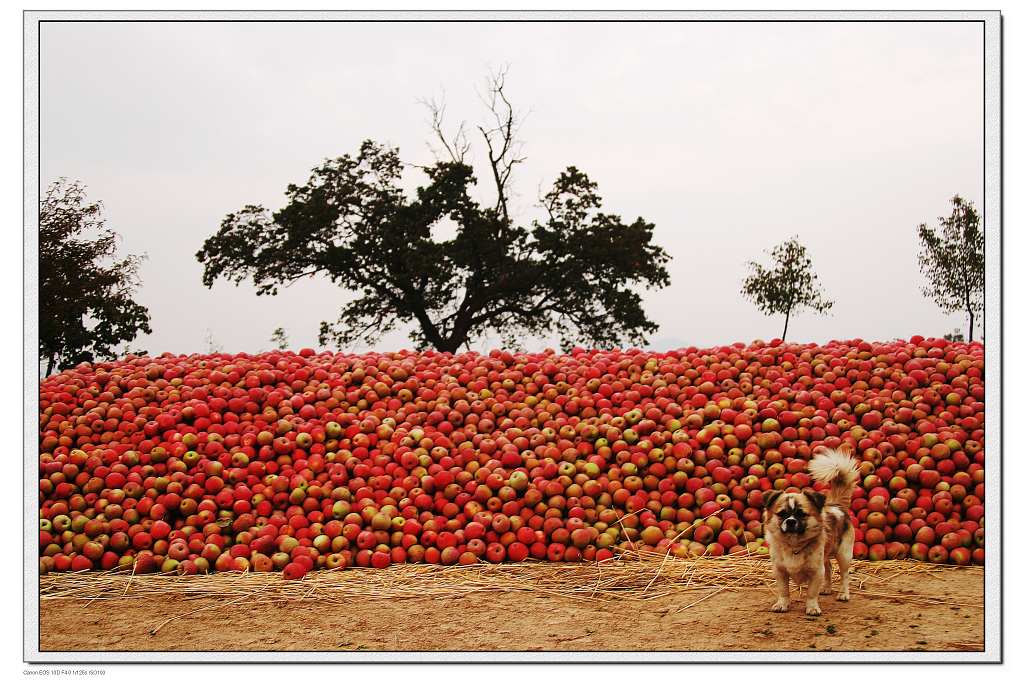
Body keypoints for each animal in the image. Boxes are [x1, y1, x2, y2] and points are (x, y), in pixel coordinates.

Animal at [765, 446, 860, 618]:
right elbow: (783, 591)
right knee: (829, 568)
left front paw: (812, 608)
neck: (794, 545)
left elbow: (811, 593)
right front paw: (782, 604)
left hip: (844, 554)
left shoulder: (816, 572)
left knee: (844, 575)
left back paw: (843, 593)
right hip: (826, 555)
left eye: (802, 514)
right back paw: (827, 588)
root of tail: (837, 505)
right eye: (782, 514)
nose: (790, 521)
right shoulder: (780, 571)